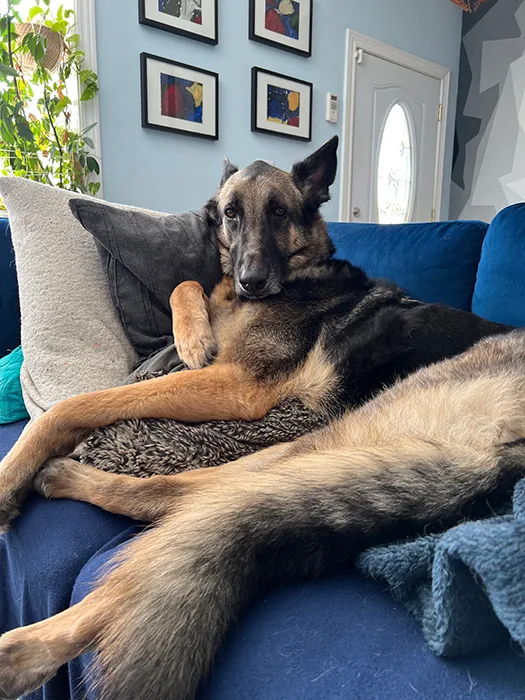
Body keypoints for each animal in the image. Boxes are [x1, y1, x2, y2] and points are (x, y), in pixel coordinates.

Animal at [0, 137, 520, 700]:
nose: (251, 281)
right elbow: (188, 284)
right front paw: (189, 338)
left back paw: (21, 644)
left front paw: (11, 475)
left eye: (279, 213)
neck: (296, 275)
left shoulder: (238, 384)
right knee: (188, 504)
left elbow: (79, 404)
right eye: (230, 213)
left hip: (338, 434)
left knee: (178, 516)